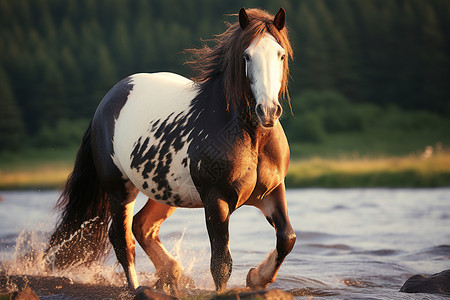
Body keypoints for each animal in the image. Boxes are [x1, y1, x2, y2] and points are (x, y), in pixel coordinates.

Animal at [45, 6, 298, 296]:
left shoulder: (273, 191)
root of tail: (106, 103)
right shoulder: (216, 200)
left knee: (142, 226)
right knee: (122, 240)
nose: (268, 111)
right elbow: (221, 263)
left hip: (164, 193)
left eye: (280, 54)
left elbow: (286, 238)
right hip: (120, 190)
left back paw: (171, 274)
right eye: (247, 56)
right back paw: (137, 288)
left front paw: (256, 278)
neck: (251, 137)